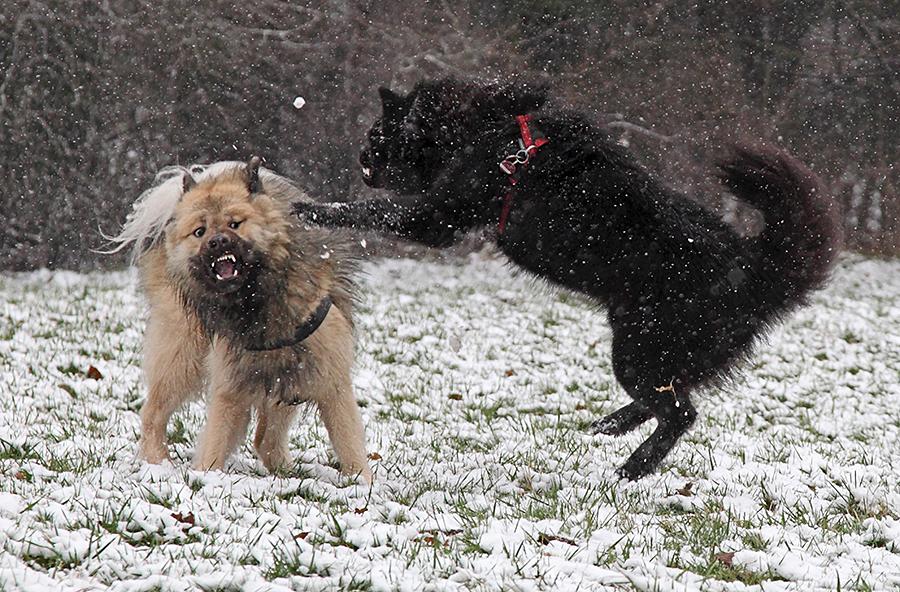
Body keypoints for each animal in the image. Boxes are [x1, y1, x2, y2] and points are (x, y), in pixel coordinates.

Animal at [110, 157, 372, 480]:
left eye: (235, 223)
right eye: (200, 231)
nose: (218, 242)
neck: (255, 302)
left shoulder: (330, 381)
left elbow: (349, 444)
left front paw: (363, 484)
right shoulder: (230, 387)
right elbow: (216, 441)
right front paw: (206, 478)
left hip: (287, 381)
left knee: (265, 438)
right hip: (183, 357)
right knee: (153, 414)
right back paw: (158, 463)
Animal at [292, 76, 840, 480]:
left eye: (375, 137)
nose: (362, 160)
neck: (488, 132)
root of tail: (755, 269)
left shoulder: (437, 218)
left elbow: (372, 212)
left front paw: (312, 210)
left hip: (640, 348)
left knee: (679, 411)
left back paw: (634, 466)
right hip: (656, 348)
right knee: (670, 400)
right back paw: (611, 425)